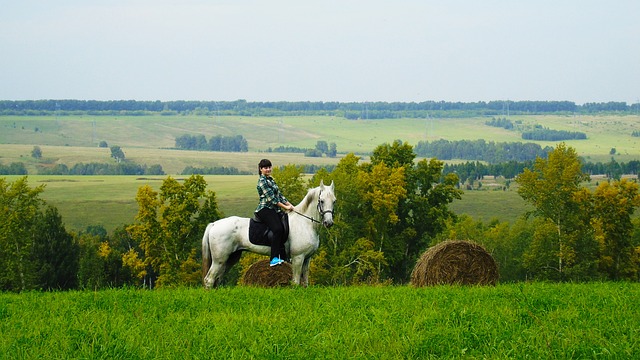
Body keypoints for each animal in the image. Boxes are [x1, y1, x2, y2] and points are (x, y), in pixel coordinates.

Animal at [202, 181, 338, 288]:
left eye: (334, 201)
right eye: (321, 201)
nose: (329, 222)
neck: (305, 223)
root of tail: (213, 224)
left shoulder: (307, 259)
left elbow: (305, 283)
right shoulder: (298, 257)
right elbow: (295, 282)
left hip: (230, 259)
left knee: (217, 280)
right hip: (219, 259)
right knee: (209, 280)